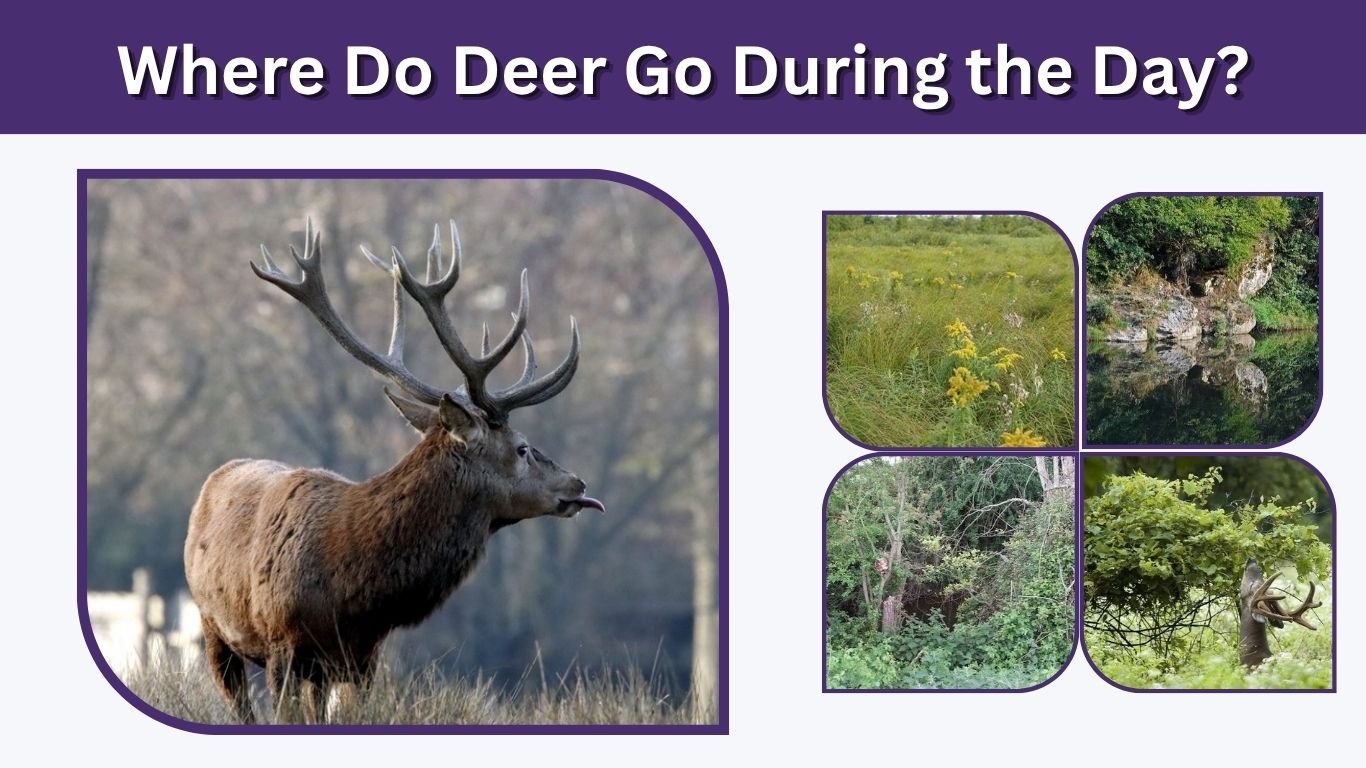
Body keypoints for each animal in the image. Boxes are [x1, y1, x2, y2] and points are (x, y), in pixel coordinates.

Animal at [183, 219, 604, 723]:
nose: (578, 483)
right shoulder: (282, 643)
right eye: (522, 449)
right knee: (239, 703)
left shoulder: (363, 656)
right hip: (213, 626)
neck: (352, 592)